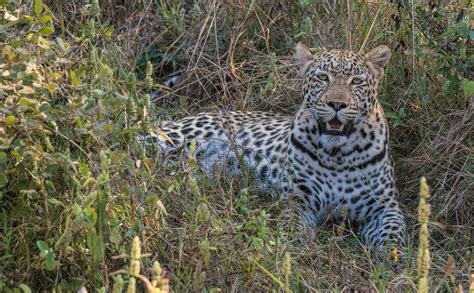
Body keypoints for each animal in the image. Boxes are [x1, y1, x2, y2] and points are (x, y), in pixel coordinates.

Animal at [140, 41, 404, 246]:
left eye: (356, 81)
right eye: (322, 77)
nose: (336, 104)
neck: (338, 154)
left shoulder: (385, 206)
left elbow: (394, 233)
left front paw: (395, 264)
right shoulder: (299, 198)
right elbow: (293, 224)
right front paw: (294, 246)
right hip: (171, 138)